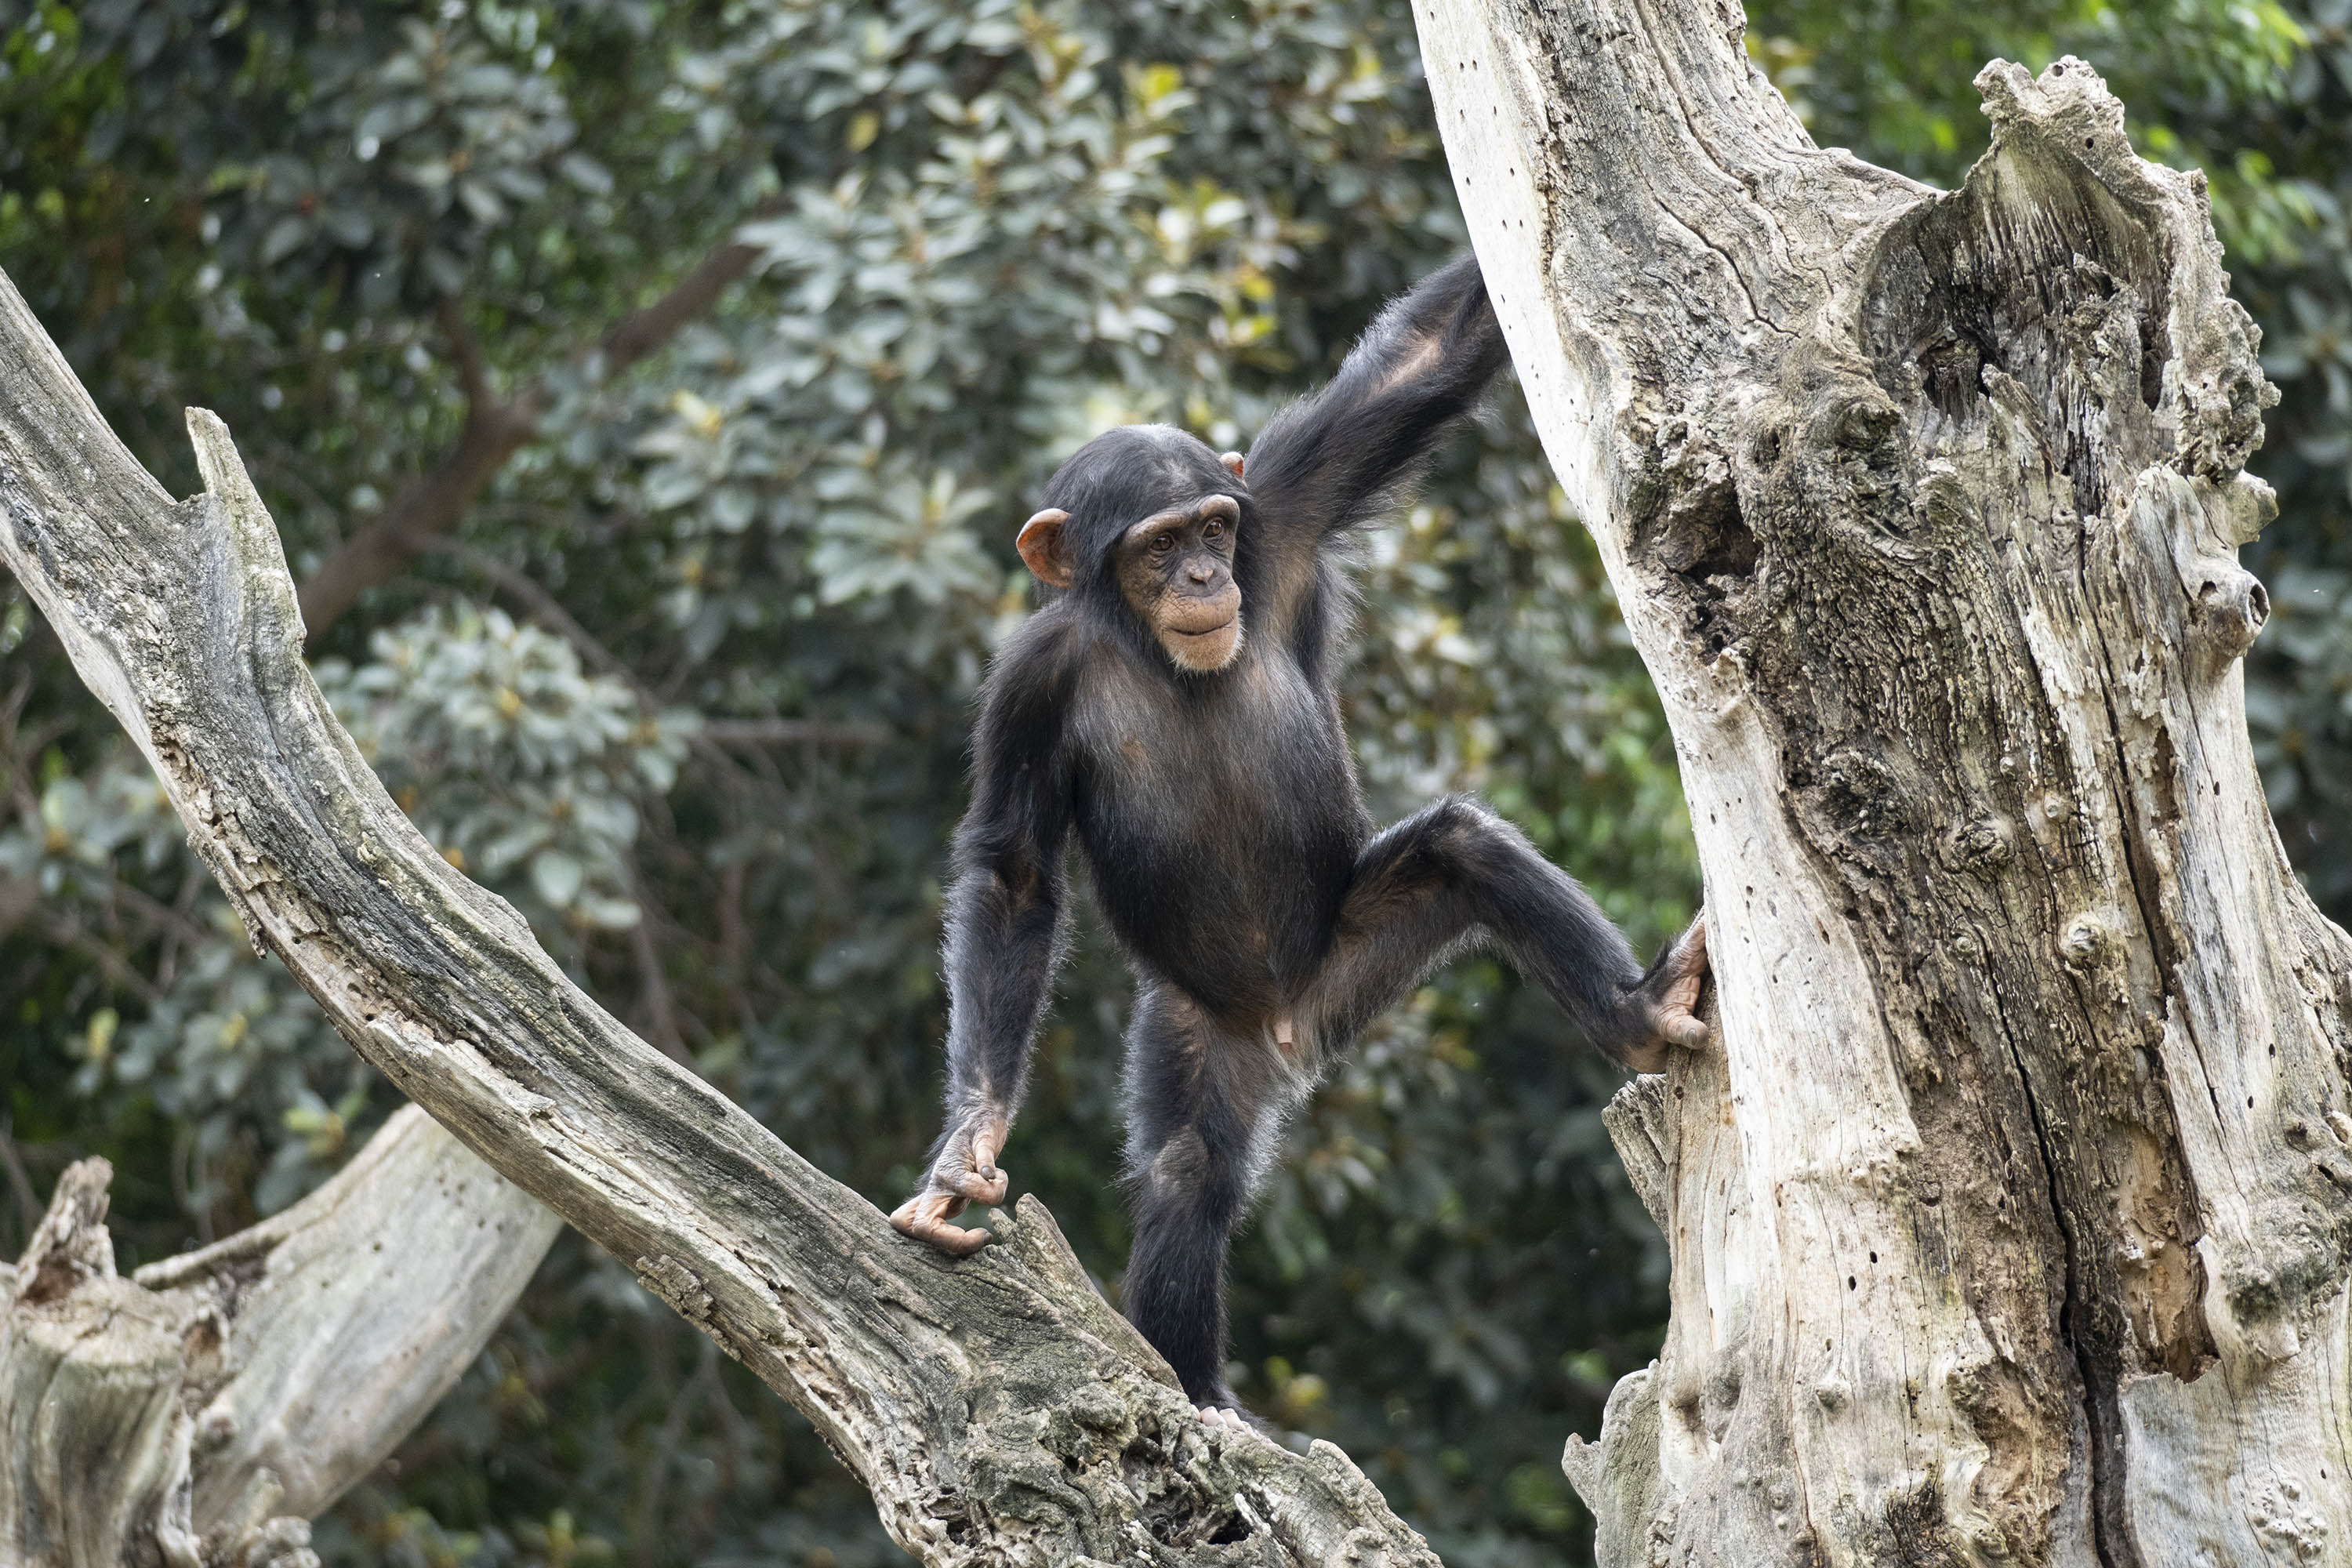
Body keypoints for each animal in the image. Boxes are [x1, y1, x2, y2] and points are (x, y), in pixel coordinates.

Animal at [884, 255, 1712, 1420]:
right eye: (1156, 545)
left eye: (1211, 531)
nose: (1201, 578)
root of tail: (1294, 1023)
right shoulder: (1027, 686)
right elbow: (1014, 874)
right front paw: (973, 1137)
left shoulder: (1284, 508)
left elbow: (1426, 362)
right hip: (1202, 1022)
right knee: (1187, 1170)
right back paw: (1198, 1393)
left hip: (1356, 947)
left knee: (1464, 851)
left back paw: (1639, 1013)